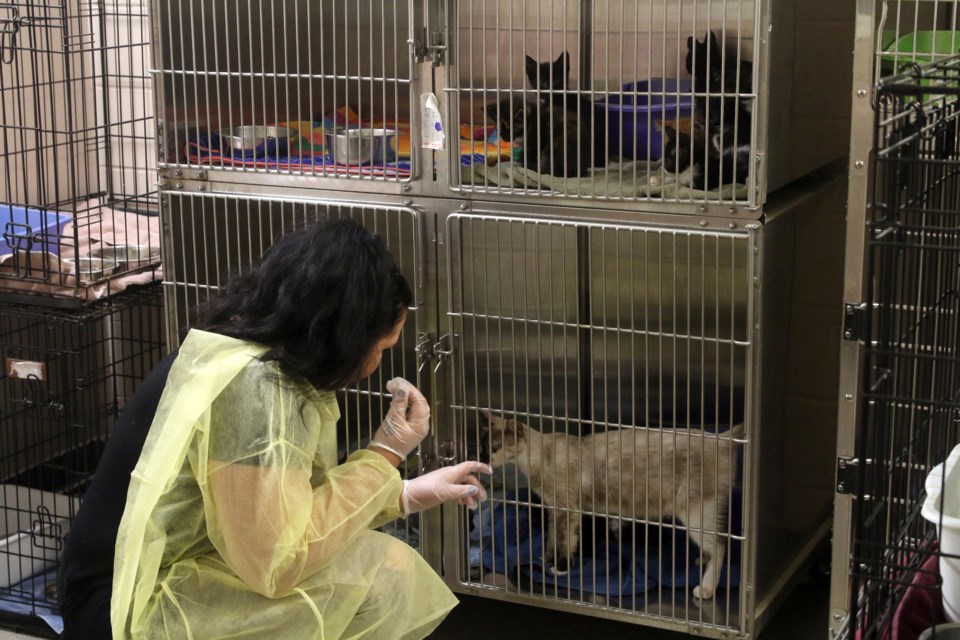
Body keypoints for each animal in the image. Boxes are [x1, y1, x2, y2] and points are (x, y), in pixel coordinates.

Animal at [480, 410, 744, 600]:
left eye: (494, 449)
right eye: (483, 448)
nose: (482, 459)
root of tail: (723, 438)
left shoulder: (567, 511)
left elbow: (564, 543)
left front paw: (560, 568)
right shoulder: (555, 511)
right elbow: (552, 540)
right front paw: (547, 561)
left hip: (695, 512)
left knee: (720, 544)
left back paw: (706, 588)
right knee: (715, 544)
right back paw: (702, 560)